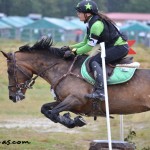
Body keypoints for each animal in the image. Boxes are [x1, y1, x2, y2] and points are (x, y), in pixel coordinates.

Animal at [0, 37, 150, 127]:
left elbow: (53, 112)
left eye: (9, 71)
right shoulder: (64, 100)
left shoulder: (75, 99)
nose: (12, 96)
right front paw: (71, 119)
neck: (62, 70)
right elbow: (45, 109)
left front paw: (74, 121)